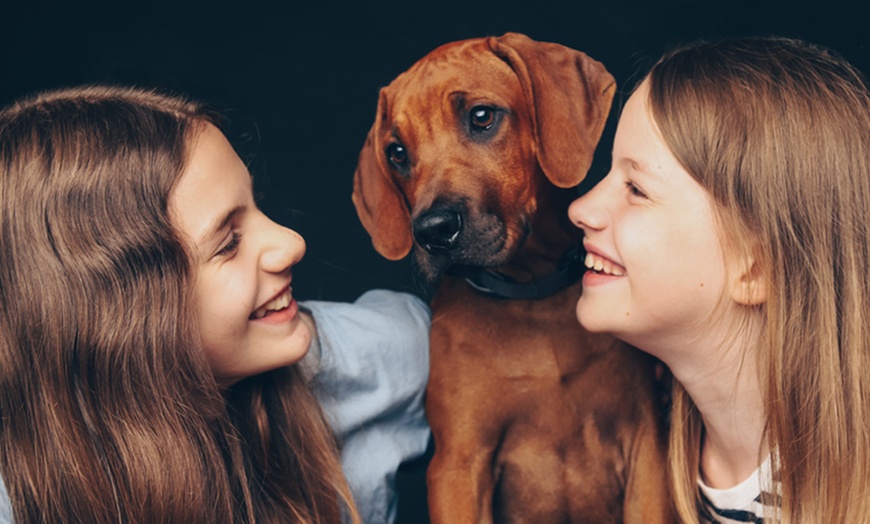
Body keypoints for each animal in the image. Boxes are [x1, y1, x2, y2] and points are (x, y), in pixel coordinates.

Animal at [354, 33, 676, 524]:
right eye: (397, 153)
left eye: (481, 116)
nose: (432, 231)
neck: (531, 295)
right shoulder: (458, 466)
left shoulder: (645, 447)